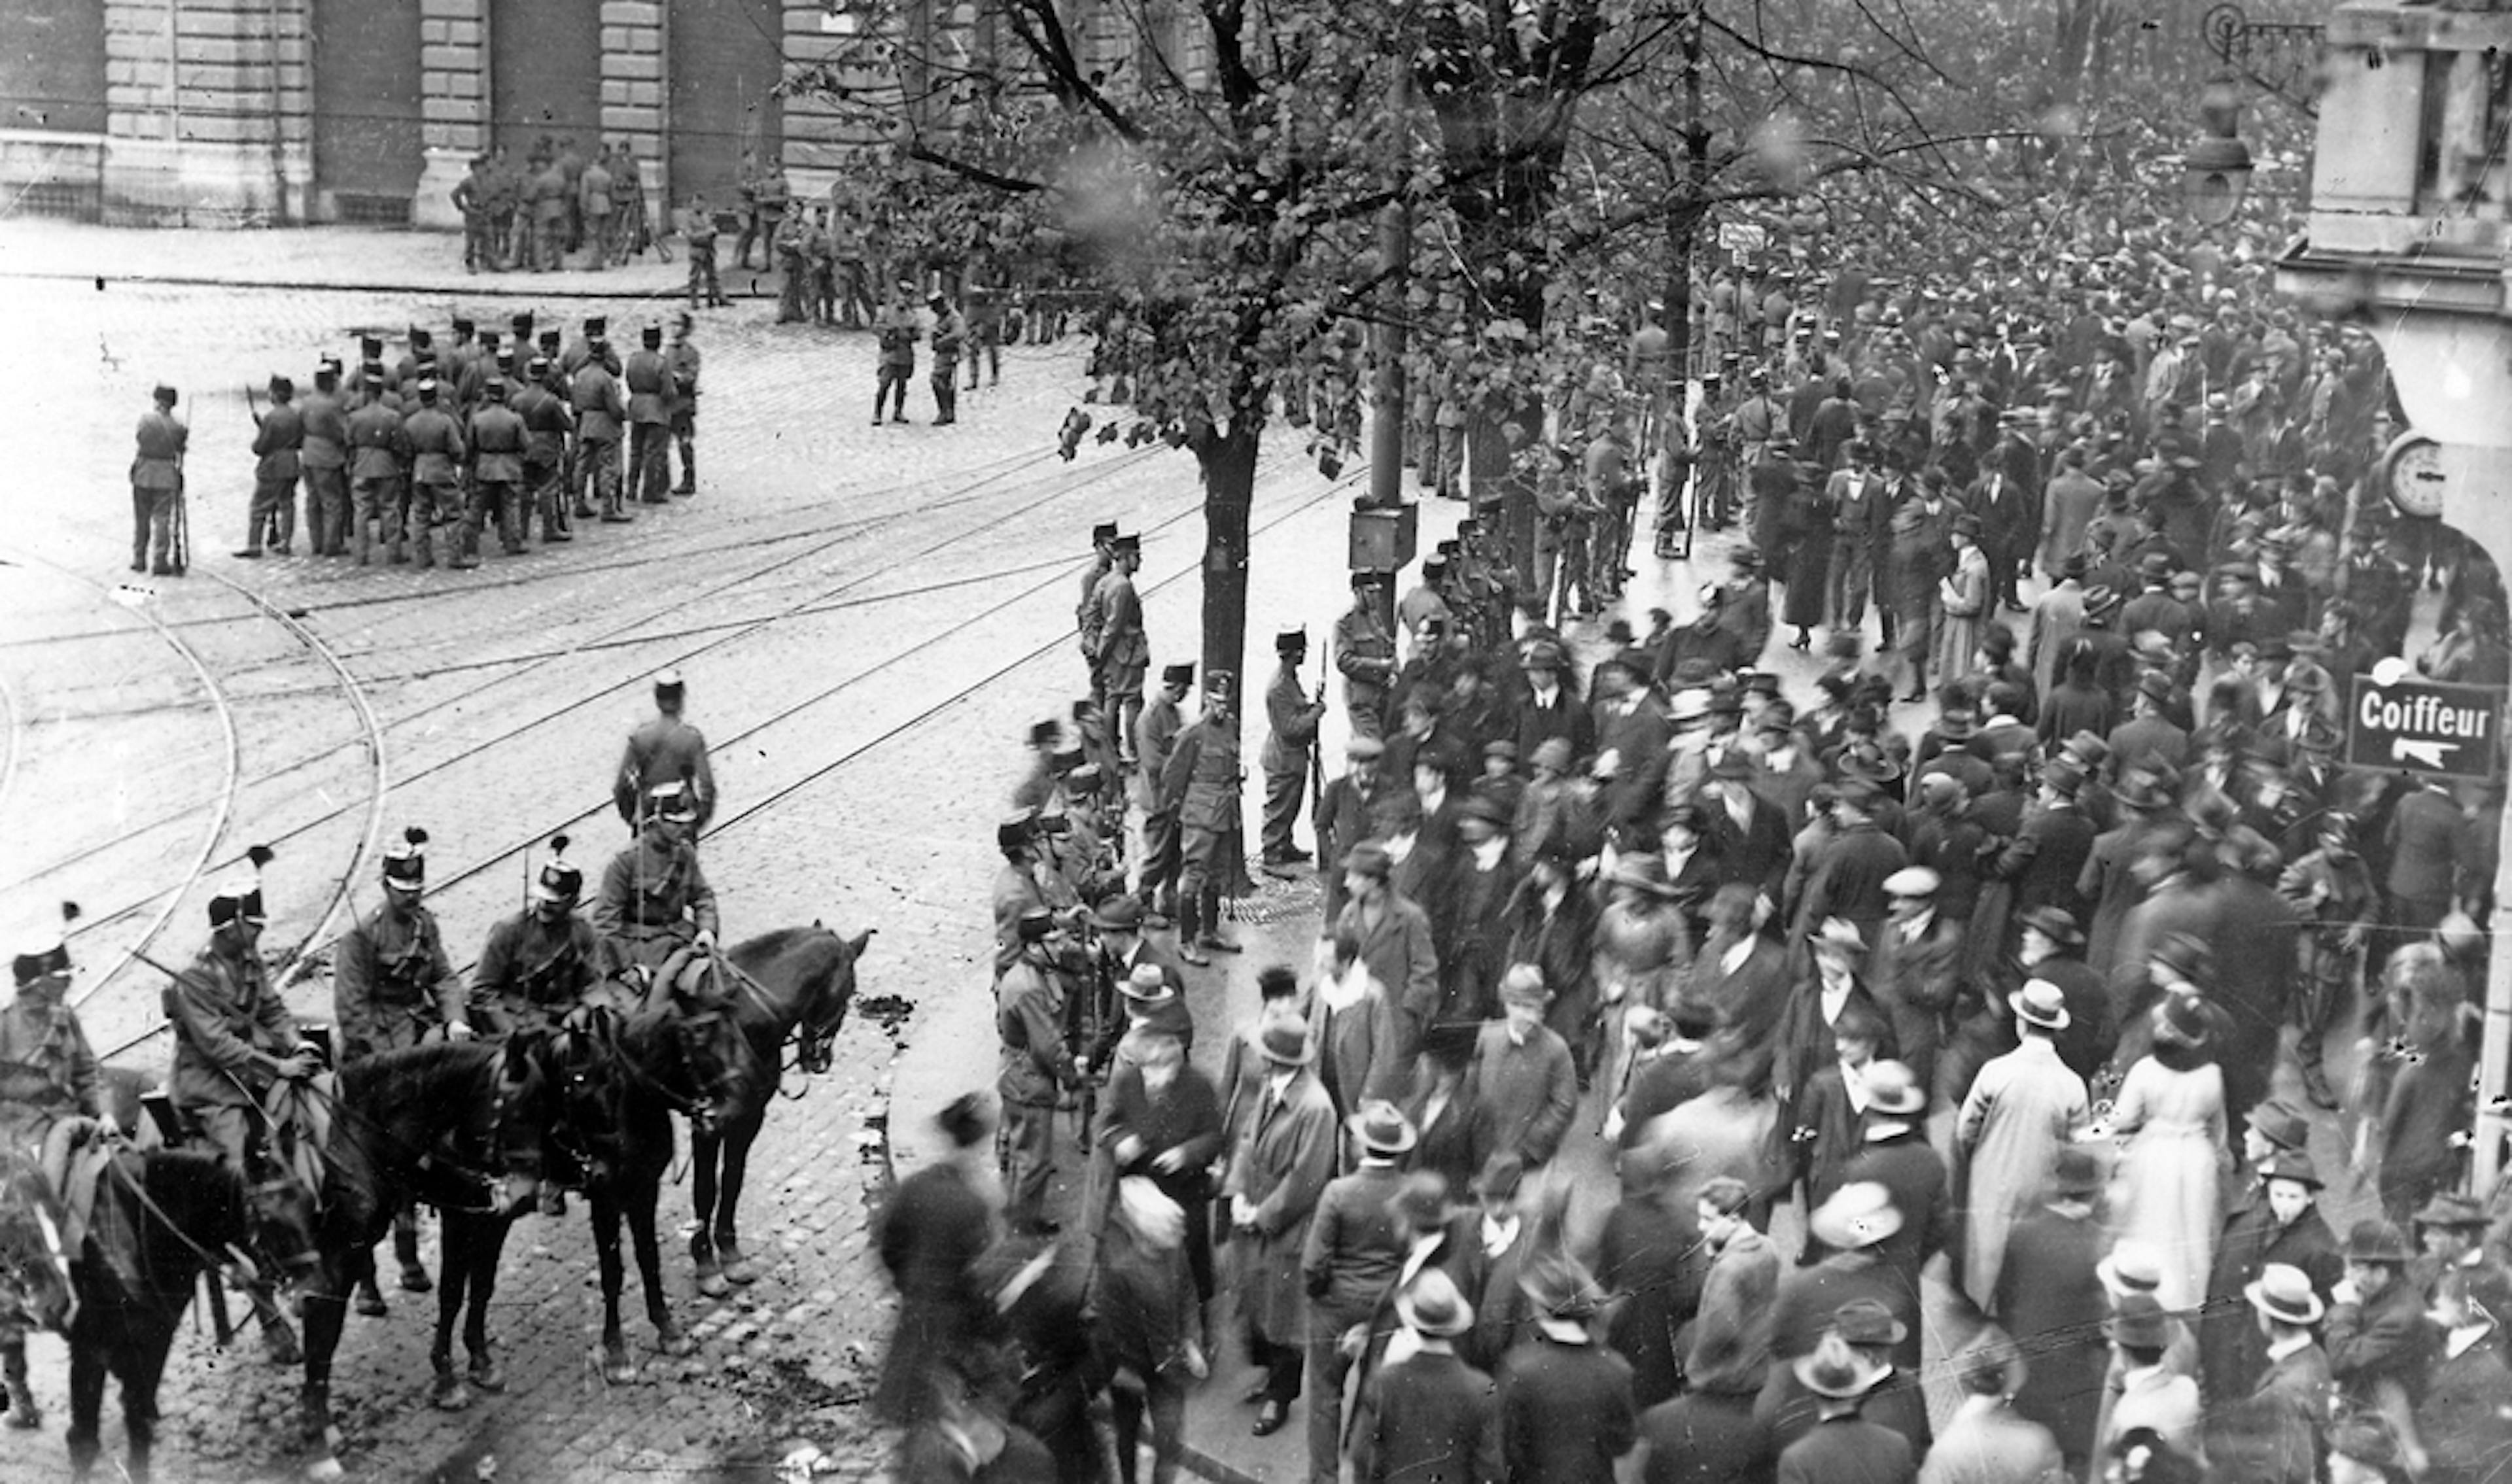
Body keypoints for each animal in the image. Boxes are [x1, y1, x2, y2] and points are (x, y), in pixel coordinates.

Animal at [64, 1150, 311, 1484]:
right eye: (272, 1219)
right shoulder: (96, 1343)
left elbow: (131, 1419)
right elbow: (91, 1437)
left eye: (311, 1206)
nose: (312, 1290)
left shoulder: (151, 1332)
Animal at [294, 1039, 555, 1476]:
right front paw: (446, 1380)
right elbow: (451, 1293)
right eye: (517, 1112)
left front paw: (481, 1361)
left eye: (548, 1111)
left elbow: (481, 1287)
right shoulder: (458, 1215)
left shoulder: (492, 1217)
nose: (525, 1195)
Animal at [560, 979, 763, 1386]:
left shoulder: (645, 1189)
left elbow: (648, 1259)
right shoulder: (605, 1200)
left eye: (736, 1028)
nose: (750, 1089)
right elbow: (612, 1273)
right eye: (699, 1036)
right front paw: (616, 1353)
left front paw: (669, 1331)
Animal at [688, 934, 874, 1296]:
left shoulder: (750, 1117)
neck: (740, 1021)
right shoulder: (706, 1124)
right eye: (850, 990)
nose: (820, 1059)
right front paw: (705, 1264)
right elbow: (705, 1188)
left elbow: (732, 1180)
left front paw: (729, 1254)